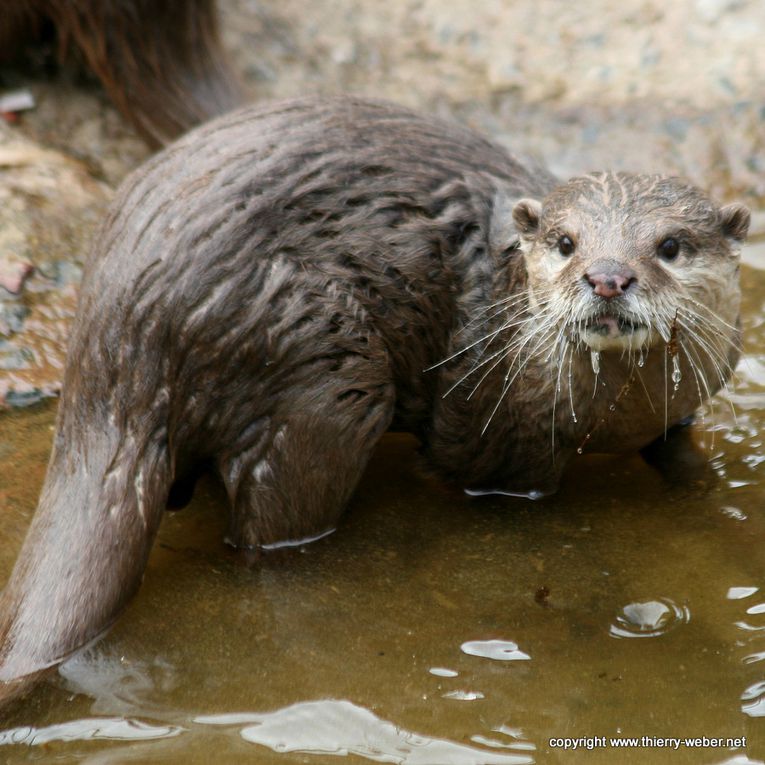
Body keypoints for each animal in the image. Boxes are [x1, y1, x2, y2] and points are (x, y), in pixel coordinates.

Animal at [0, 98, 748, 708]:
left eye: (669, 246)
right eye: (566, 243)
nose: (607, 276)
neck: (614, 414)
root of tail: (124, 331)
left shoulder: (678, 409)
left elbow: (681, 453)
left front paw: (708, 497)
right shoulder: (491, 426)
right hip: (322, 372)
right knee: (269, 525)